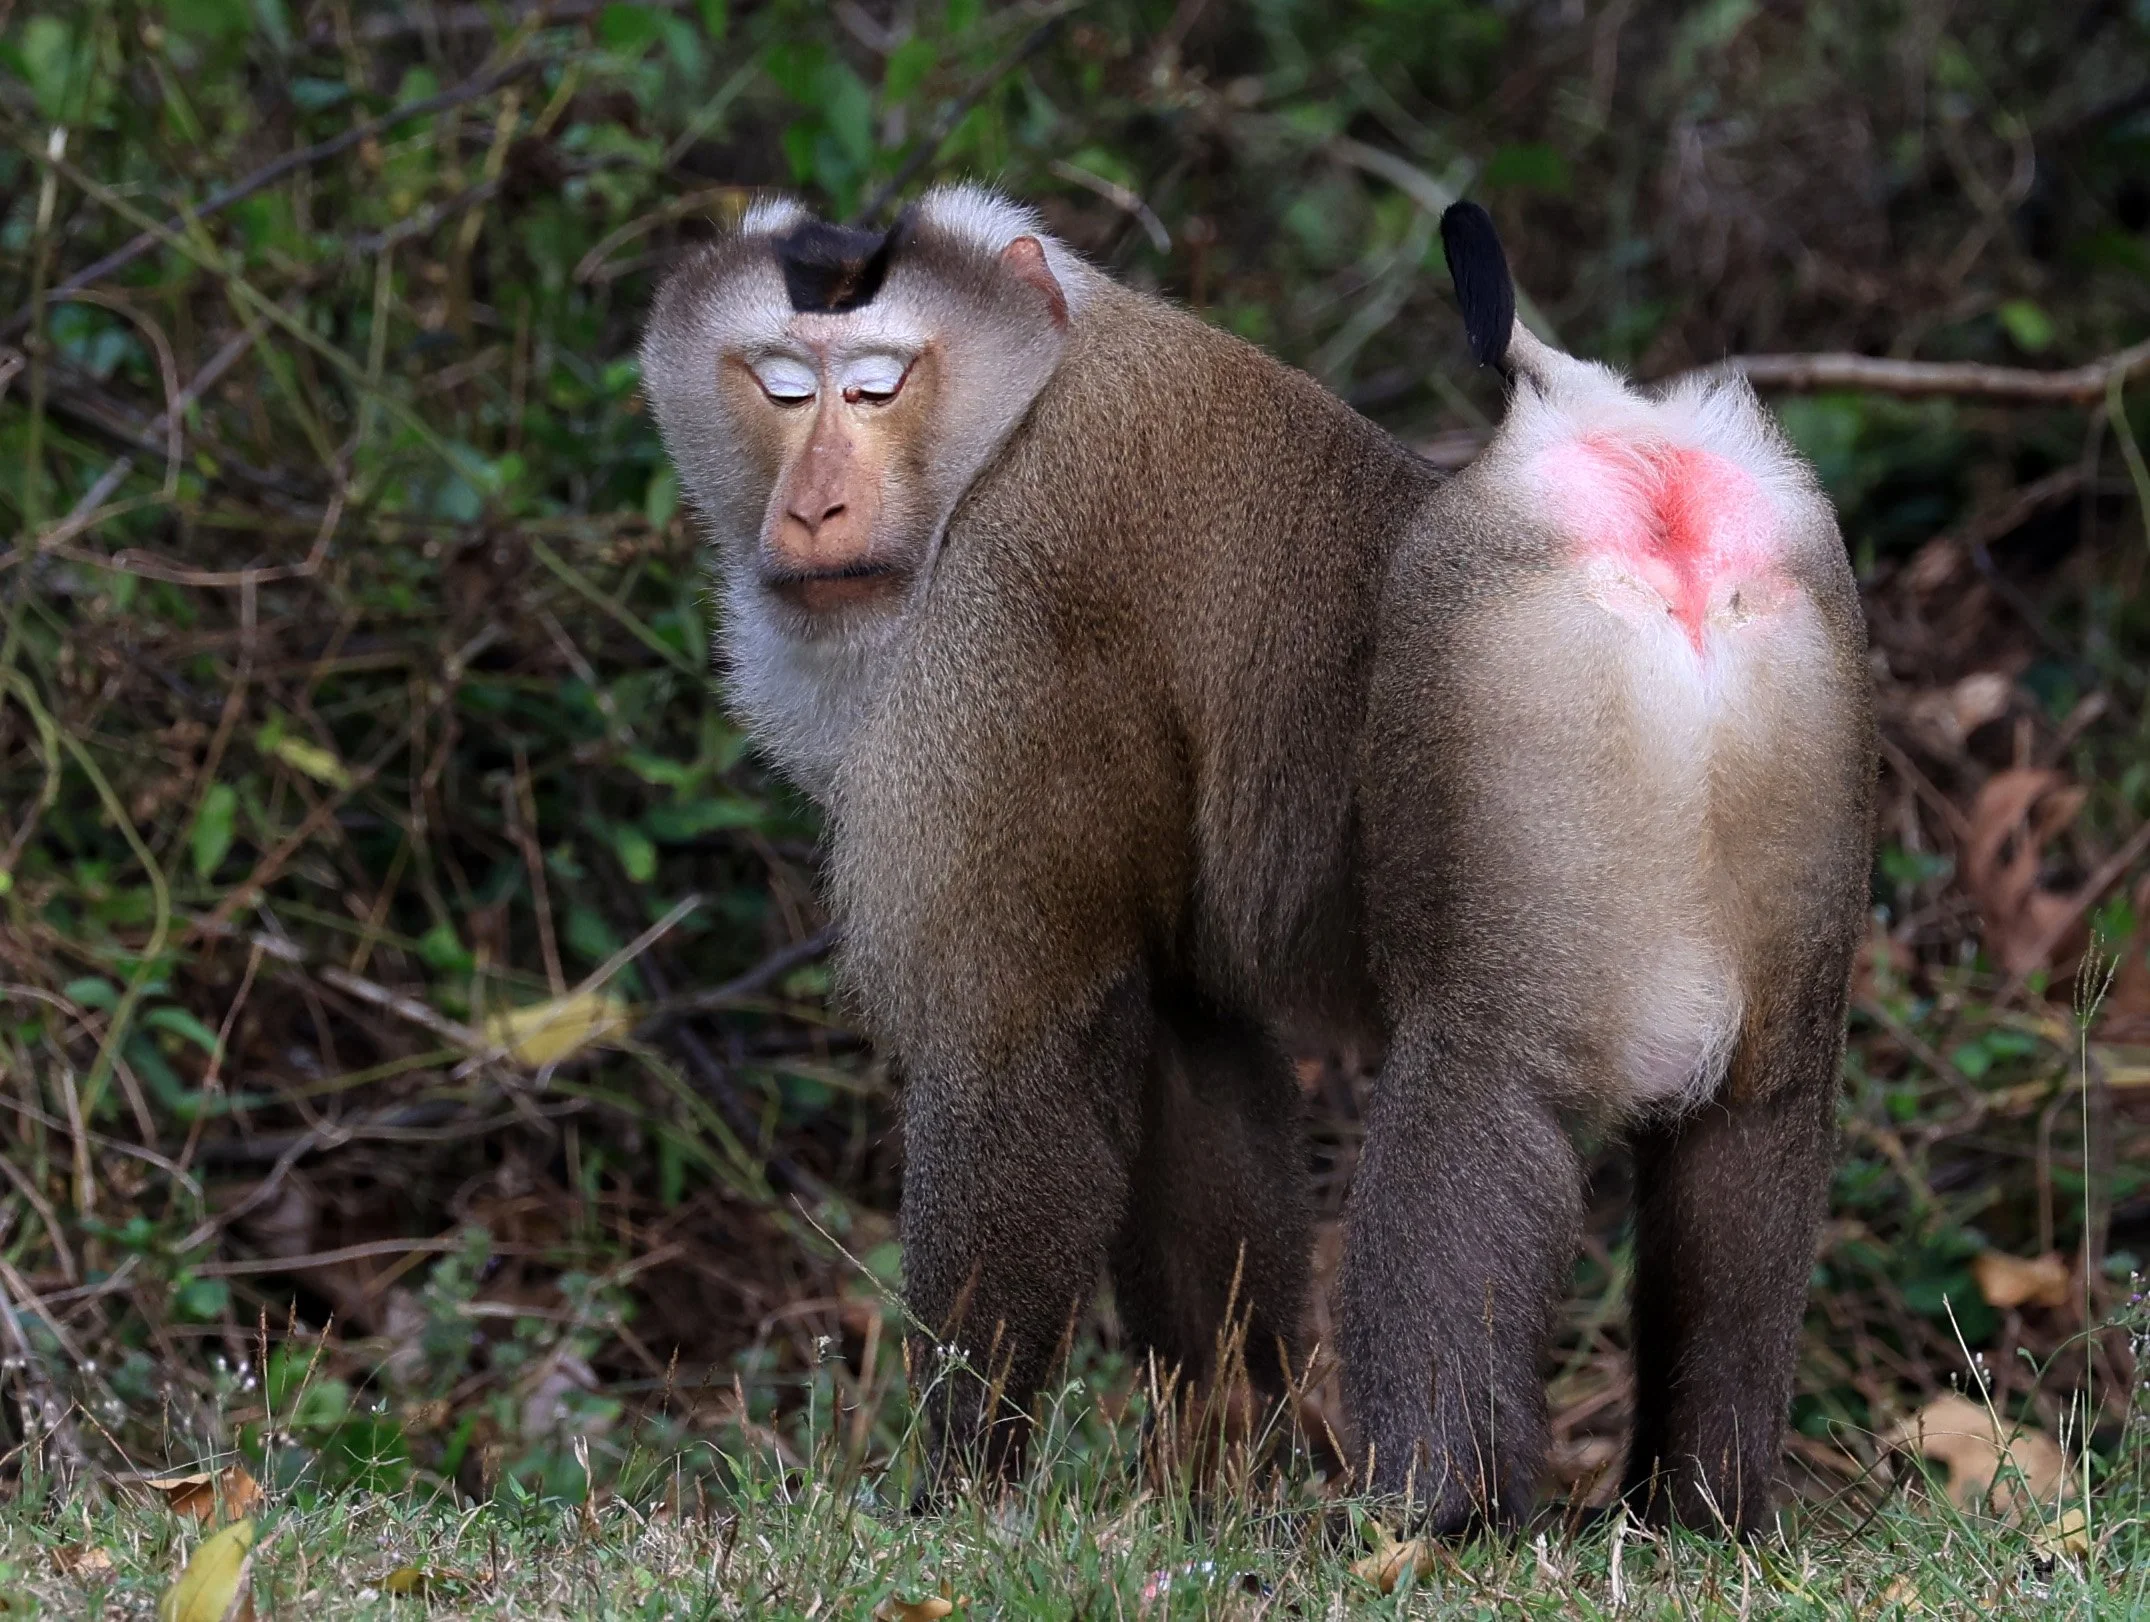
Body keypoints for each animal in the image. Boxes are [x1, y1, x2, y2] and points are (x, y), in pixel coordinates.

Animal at [641, 187, 1872, 1535]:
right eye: (777, 383)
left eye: (872, 387)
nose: (812, 507)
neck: (1010, 409)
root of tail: (1607, 440)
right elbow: (1192, 1043)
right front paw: (1228, 1451)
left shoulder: (1002, 632)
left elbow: (1019, 1051)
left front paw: (957, 1488)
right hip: (1808, 654)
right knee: (1763, 1104)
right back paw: (1704, 1501)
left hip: (1512, 680)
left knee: (1480, 1074)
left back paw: (1428, 1510)